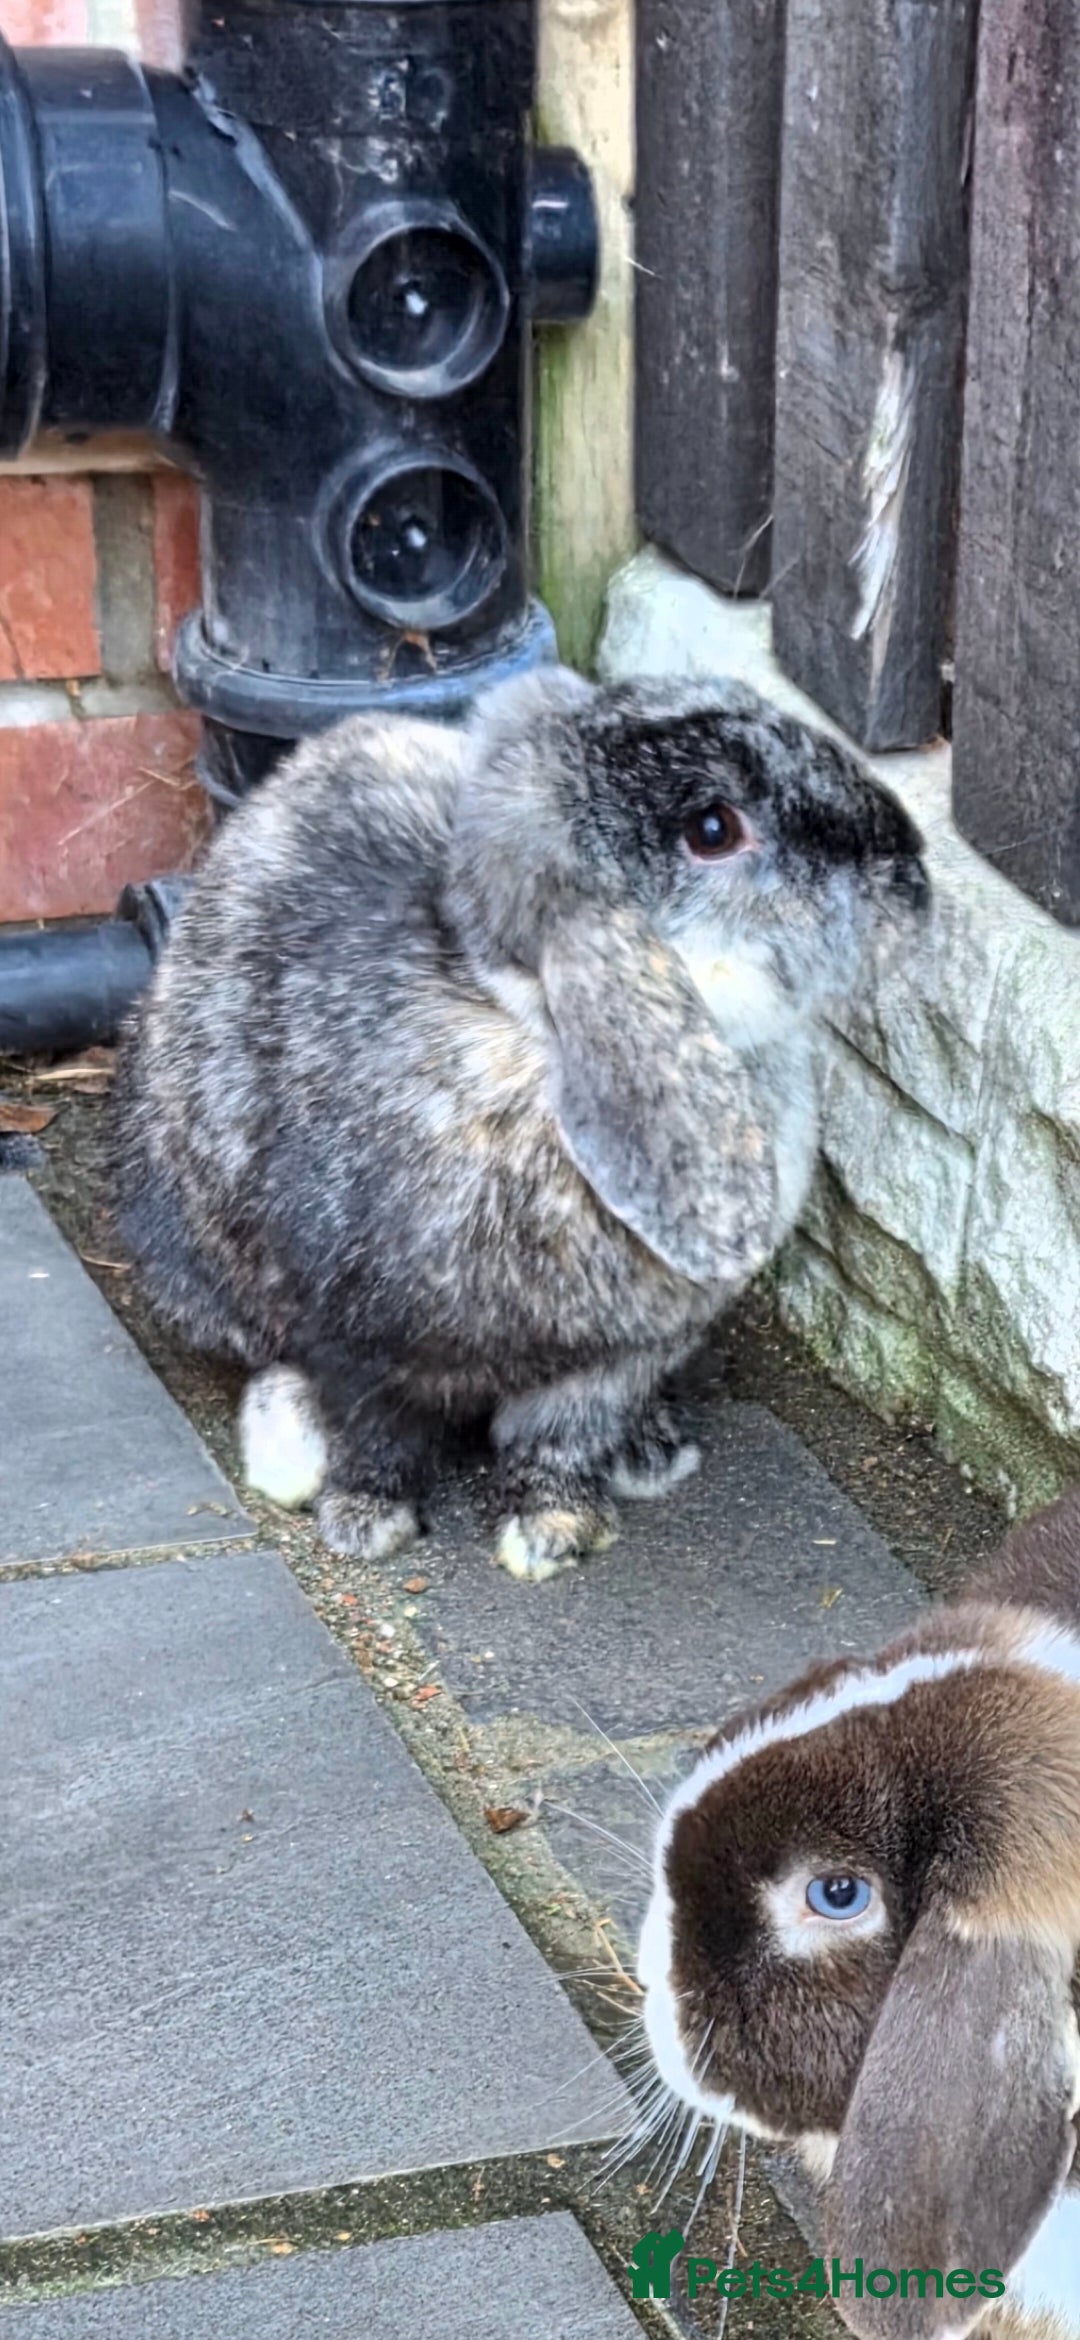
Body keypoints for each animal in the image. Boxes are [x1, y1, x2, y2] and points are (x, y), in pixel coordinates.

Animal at [112, 664, 928, 1580]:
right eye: (713, 829)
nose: (911, 870)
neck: (533, 1036)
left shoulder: (607, 1369)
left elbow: (556, 1444)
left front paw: (555, 1532)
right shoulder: (353, 1340)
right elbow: (376, 1432)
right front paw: (366, 1521)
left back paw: (650, 1451)